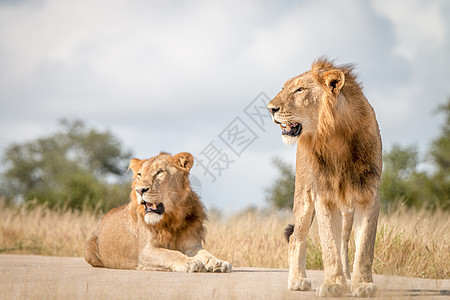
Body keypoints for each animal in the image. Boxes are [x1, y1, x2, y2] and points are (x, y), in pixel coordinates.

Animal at [85, 151, 232, 274]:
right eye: (139, 175)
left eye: (160, 172)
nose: (139, 190)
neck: (173, 219)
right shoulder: (146, 251)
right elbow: (170, 254)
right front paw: (189, 262)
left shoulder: (192, 245)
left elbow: (205, 253)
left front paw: (219, 263)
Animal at [268, 58, 382, 298]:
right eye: (284, 87)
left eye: (300, 89)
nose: (270, 109)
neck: (335, 138)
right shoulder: (323, 196)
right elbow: (329, 245)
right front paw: (333, 285)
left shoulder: (369, 195)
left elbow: (364, 246)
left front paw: (361, 284)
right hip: (303, 199)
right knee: (296, 239)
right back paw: (298, 281)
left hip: (346, 209)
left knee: (344, 243)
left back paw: (347, 279)